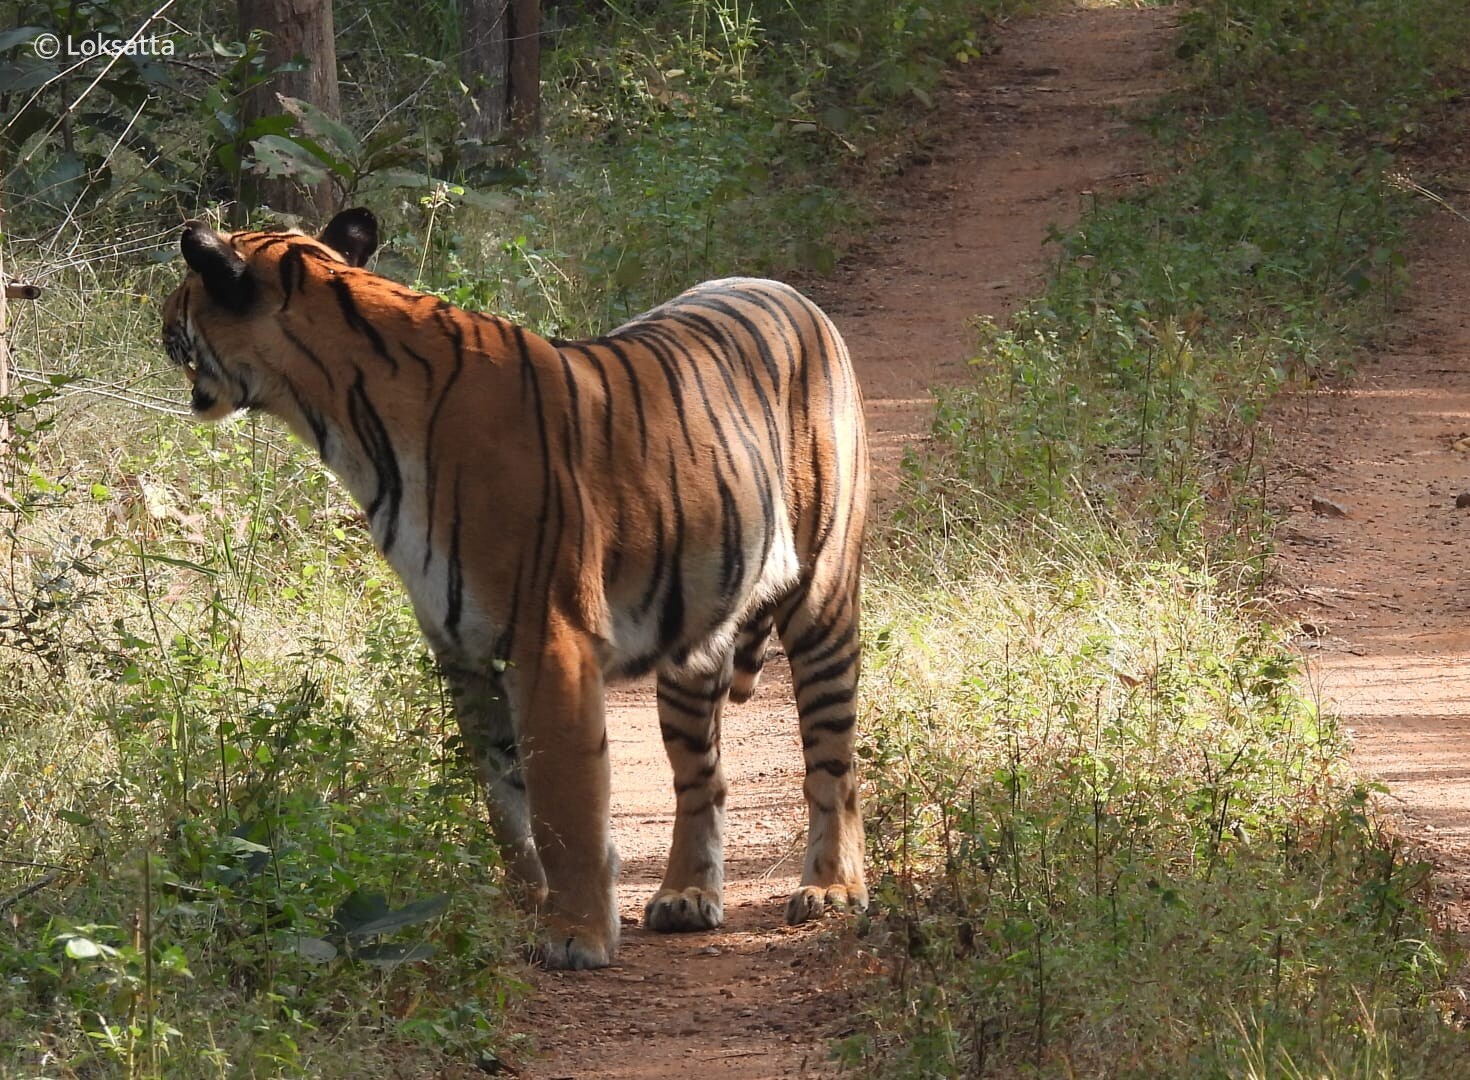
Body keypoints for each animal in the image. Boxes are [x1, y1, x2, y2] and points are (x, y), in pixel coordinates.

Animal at [160, 207, 870, 969]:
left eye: (182, 296)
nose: (158, 322)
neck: (345, 419)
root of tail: (792, 295)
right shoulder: (463, 650)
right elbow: (504, 801)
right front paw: (523, 910)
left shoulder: (548, 640)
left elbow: (565, 803)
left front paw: (576, 933)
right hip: (696, 634)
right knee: (702, 776)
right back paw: (686, 895)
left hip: (823, 601)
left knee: (834, 762)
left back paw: (831, 888)